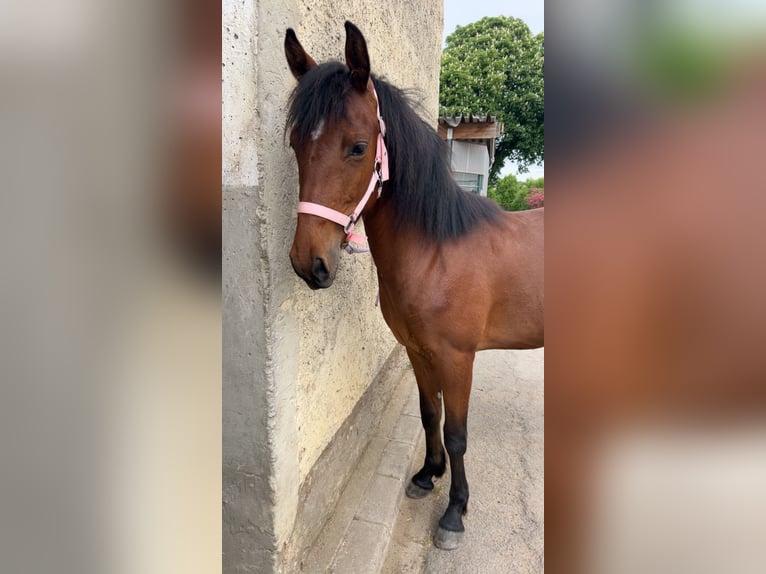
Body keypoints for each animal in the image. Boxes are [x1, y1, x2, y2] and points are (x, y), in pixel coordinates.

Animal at [283, 21, 544, 550]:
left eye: (358, 146)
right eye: (297, 144)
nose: (308, 263)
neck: (437, 253)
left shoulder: (458, 359)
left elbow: (459, 433)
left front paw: (455, 512)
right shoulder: (418, 352)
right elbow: (430, 416)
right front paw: (427, 476)